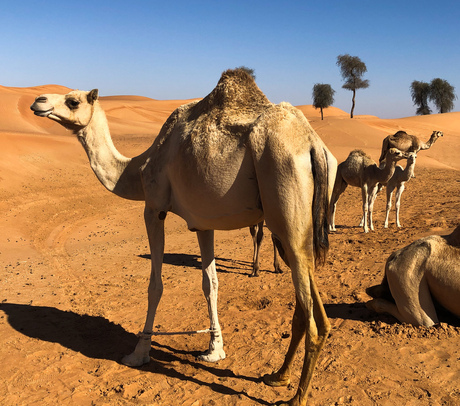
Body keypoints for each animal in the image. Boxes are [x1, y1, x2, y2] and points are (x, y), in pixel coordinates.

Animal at [29, 70, 338, 406]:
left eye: (73, 101)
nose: (38, 100)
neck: (137, 170)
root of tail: (312, 145)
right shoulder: (203, 223)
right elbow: (210, 284)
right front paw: (214, 350)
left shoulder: (154, 208)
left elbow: (155, 286)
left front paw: (139, 353)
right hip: (295, 223)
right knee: (308, 300)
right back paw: (278, 376)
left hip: (285, 200)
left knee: (312, 314)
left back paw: (297, 397)